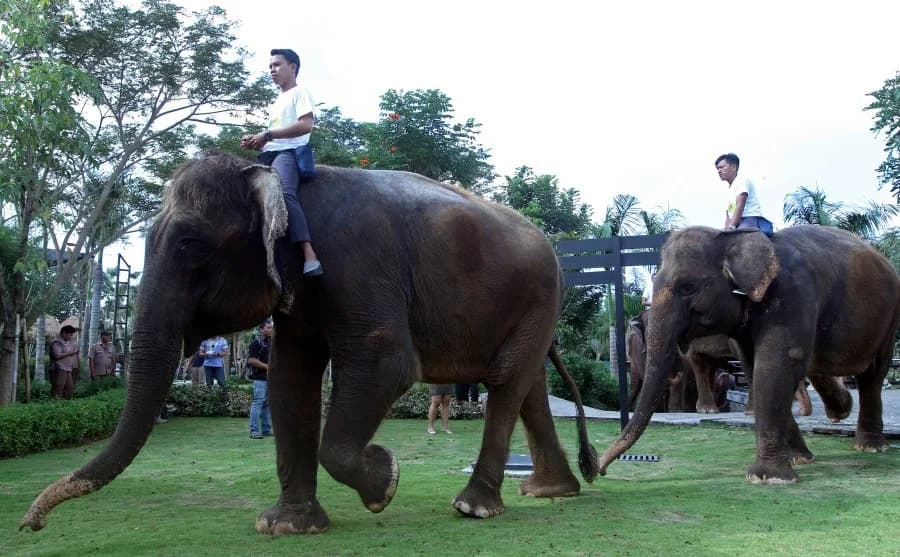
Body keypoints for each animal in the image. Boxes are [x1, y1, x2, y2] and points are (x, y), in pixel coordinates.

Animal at [21, 152, 599, 534]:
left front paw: (383, 482)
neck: (274, 180)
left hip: (541, 295)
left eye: (190, 244)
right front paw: (286, 526)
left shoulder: (355, 261)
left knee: (505, 382)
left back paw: (474, 507)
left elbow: (387, 363)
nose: (32, 524)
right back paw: (550, 491)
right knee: (528, 385)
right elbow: (289, 379)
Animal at [598, 226, 900, 484]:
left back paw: (871, 447)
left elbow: (778, 361)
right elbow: (755, 366)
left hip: (889, 319)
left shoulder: (791, 294)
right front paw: (797, 460)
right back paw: (842, 412)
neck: (732, 238)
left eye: (687, 287)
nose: (599, 470)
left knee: (873, 374)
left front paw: (768, 478)